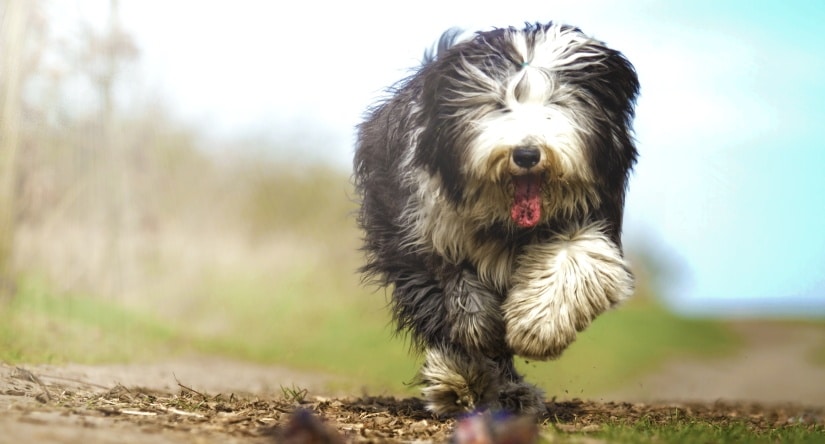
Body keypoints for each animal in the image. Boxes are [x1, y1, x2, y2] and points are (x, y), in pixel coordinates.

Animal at [350, 21, 640, 416]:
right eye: (497, 104)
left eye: (558, 102)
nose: (527, 154)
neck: (508, 222)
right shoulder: (420, 232)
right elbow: (453, 298)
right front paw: (464, 368)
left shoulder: (590, 216)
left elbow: (577, 258)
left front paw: (538, 327)